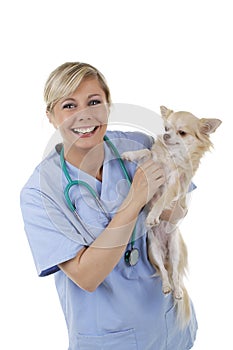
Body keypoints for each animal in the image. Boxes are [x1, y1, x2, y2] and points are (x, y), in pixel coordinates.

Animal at [123, 105, 221, 326]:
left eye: (182, 133)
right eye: (166, 128)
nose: (166, 136)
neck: (170, 157)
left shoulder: (174, 186)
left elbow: (161, 201)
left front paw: (152, 216)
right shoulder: (152, 162)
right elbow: (145, 151)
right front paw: (130, 154)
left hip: (176, 251)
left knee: (175, 273)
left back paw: (176, 291)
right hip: (154, 251)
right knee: (164, 272)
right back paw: (166, 287)